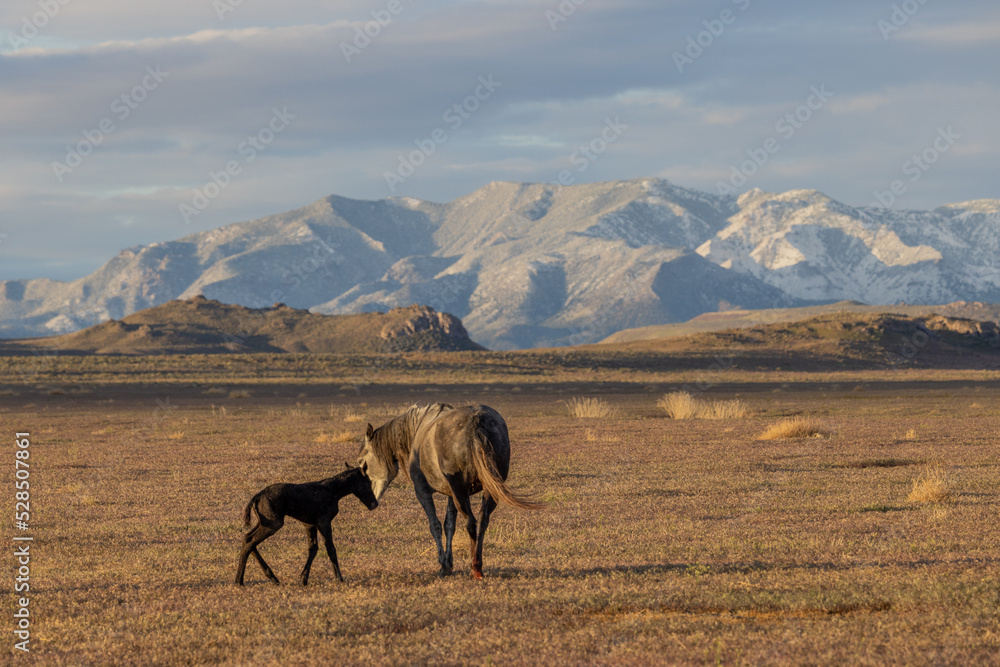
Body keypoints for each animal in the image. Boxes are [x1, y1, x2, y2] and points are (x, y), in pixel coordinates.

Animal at [234, 468, 378, 588]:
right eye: (368, 482)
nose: (374, 503)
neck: (332, 490)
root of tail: (257, 496)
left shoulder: (310, 524)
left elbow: (313, 548)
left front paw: (304, 579)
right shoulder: (323, 522)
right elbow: (330, 548)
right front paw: (339, 578)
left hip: (263, 523)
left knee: (247, 539)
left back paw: (271, 578)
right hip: (273, 524)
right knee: (250, 541)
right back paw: (239, 581)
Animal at [358, 402, 540, 580]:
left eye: (361, 462)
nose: (371, 501)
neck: (418, 427)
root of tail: (477, 422)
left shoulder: (423, 492)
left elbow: (435, 526)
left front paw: (444, 566)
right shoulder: (453, 495)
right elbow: (449, 525)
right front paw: (449, 562)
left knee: (471, 523)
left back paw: (475, 569)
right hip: (489, 491)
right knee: (482, 521)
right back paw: (478, 566)